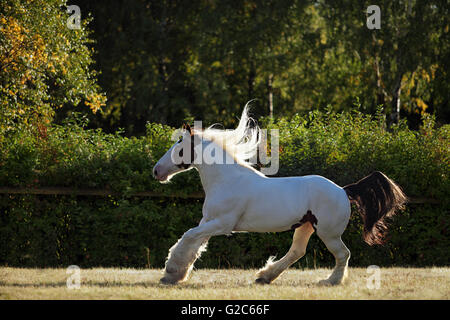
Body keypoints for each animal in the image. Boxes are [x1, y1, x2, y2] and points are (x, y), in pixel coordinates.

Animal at [153, 106, 406, 286]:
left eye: (179, 148)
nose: (157, 171)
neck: (227, 180)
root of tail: (343, 190)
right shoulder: (208, 221)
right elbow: (192, 244)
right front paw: (175, 275)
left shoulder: (223, 224)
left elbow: (188, 237)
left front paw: (170, 273)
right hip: (305, 226)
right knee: (297, 251)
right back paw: (264, 276)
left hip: (328, 233)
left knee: (343, 254)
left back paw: (329, 281)